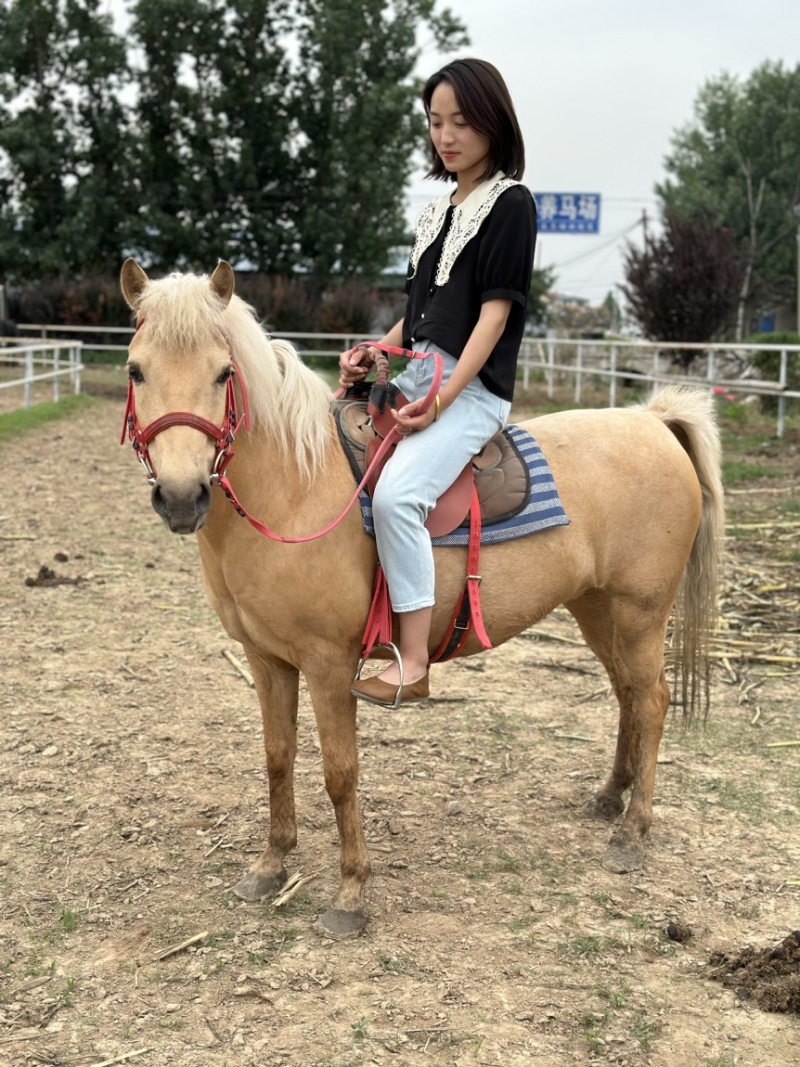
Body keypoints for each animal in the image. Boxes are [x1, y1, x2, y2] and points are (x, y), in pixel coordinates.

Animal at [119, 258, 724, 939]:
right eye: (136, 369)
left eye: (223, 373)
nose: (181, 496)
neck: (295, 487)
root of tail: (652, 420)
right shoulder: (266, 660)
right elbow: (277, 758)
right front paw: (270, 867)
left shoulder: (328, 665)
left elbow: (340, 773)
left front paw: (351, 893)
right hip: (597, 609)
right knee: (625, 694)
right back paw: (608, 798)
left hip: (642, 613)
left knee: (653, 700)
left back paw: (633, 832)